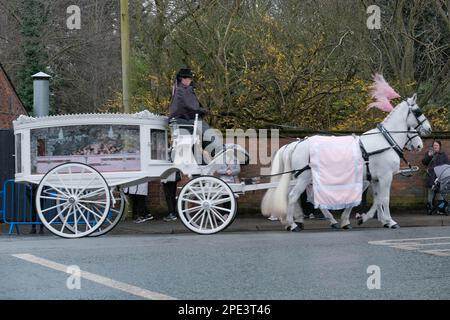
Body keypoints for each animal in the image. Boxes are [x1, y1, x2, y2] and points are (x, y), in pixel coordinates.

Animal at [262, 94, 430, 231]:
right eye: (417, 112)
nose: (428, 131)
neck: (385, 141)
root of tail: (298, 144)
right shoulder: (385, 176)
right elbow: (383, 199)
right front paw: (390, 221)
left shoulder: (375, 179)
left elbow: (377, 200)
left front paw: (373, 219)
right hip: (304, 178)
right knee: (292, 197)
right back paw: (292, 224)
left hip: (300, 178)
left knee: (295, 198)